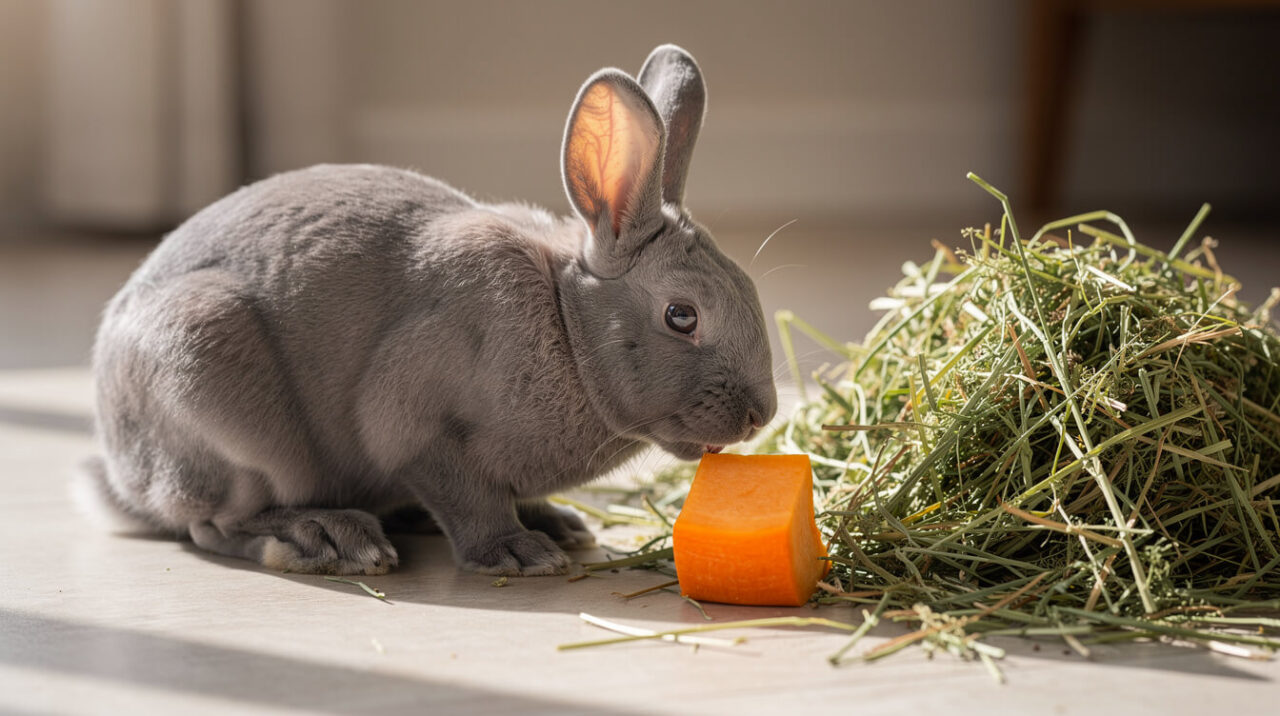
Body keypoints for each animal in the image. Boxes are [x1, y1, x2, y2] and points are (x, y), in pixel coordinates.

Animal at [76, 44, 777, 577]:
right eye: (682, 316)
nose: (760, 414)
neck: (567, 323)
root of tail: (124, 473)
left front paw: (554, 526)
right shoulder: (418, 429)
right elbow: (466, 496)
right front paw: (518, 553)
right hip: (215, 385)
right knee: (215, 524)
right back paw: (324, 538)